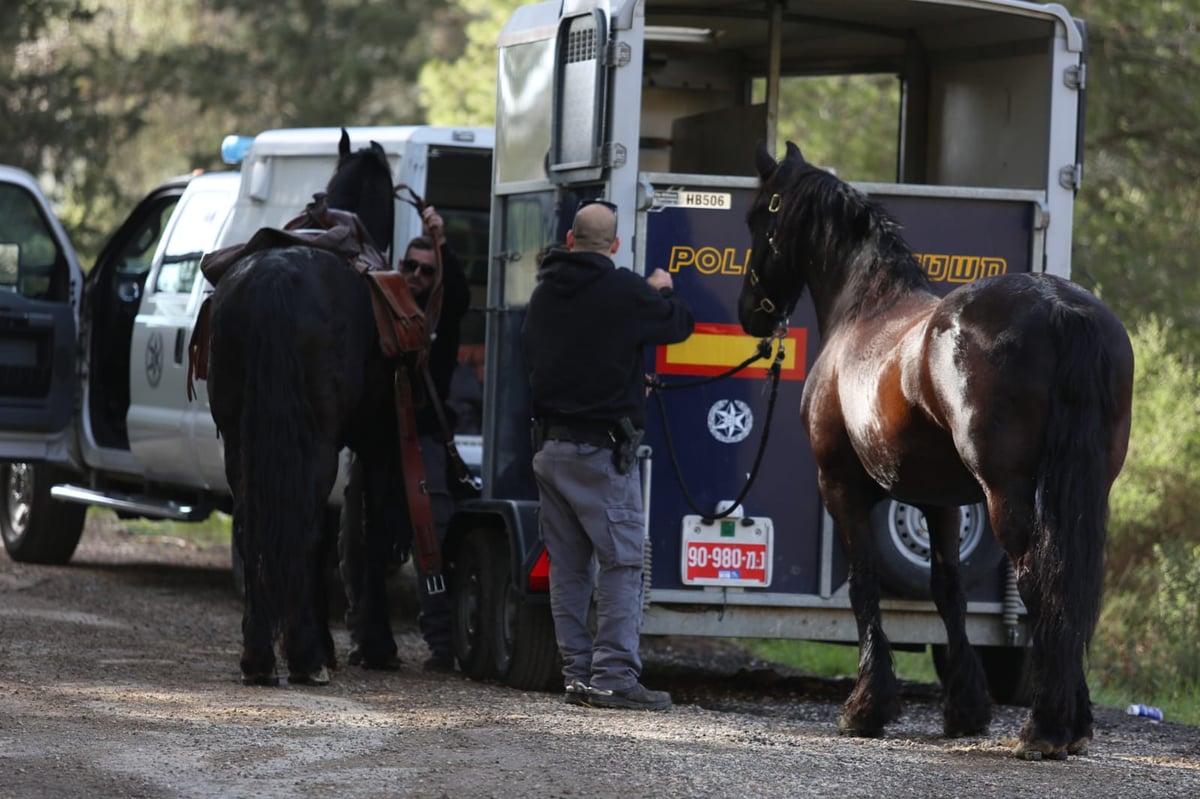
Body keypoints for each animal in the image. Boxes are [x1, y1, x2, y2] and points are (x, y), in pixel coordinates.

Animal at [206, 130, 408, 686]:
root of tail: (275, 276)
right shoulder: (374, 441)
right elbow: (368, 528)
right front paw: (371, 644)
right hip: (316, 445)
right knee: (308, 526)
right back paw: (305, 654)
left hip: (241, 442)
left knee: (252, 521)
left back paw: (259, 656)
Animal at [739, 139, 1132, 758]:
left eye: (759, 216)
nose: (750, 310)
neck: (864, 310)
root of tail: (1058, 306)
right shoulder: (940, 500)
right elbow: (947, 591)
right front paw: (965, 708)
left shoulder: (840, 486)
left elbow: (864, 585)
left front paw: (866, 708)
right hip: (1083, 489)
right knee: (1070, 583)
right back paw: (1074, 723)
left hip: (1006, 494)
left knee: (1041, 582)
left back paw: (1043, 729)